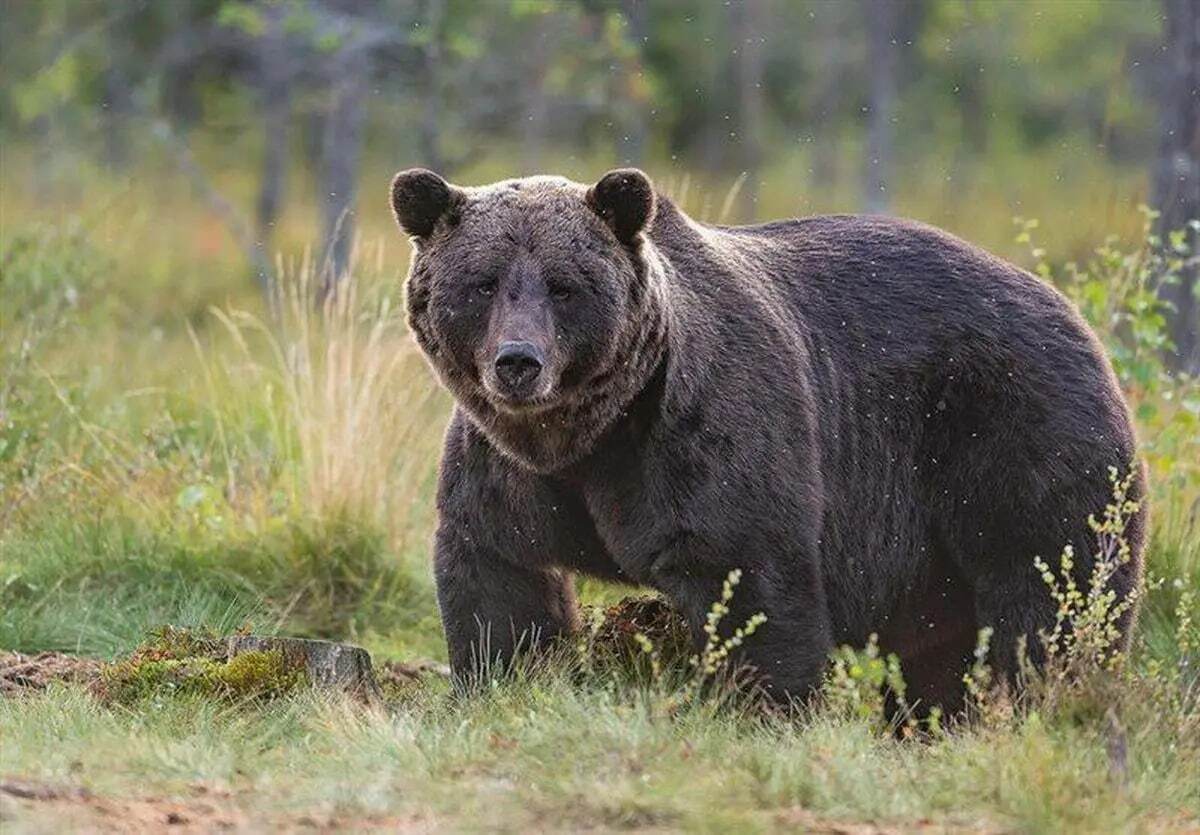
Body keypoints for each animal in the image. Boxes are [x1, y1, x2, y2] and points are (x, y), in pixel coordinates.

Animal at [388, 169, 1147, 710]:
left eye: (564, 286)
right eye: (482, 283)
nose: (518, 361)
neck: (589, 436)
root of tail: (1074, 313)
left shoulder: (701, 433)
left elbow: (750, 579)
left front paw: (762, 707)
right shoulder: (506, 469)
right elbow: (501, 581)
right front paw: (501, 681)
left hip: (1013, 430)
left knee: (1053, 590)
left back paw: (1045, 701)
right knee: (945, 643)